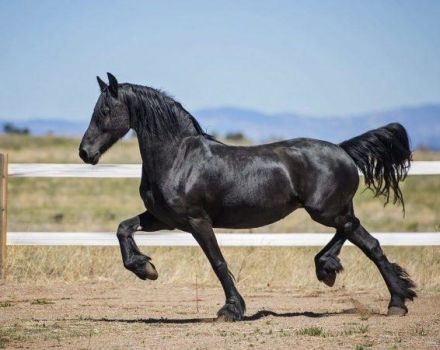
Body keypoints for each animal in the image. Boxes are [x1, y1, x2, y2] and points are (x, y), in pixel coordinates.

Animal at [80, 73, 416, 320]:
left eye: (105, 111)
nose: (85, 153)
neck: (179, 158)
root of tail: (343, 150)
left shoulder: (196, 220)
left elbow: (217, 262)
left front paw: (231, 310)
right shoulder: (164, 219)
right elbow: (123, 228)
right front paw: (145, 269)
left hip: (326, 211)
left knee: (359, 235)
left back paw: (374, 291)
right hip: (334, 210)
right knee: (361, 238)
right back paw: (366, 286)